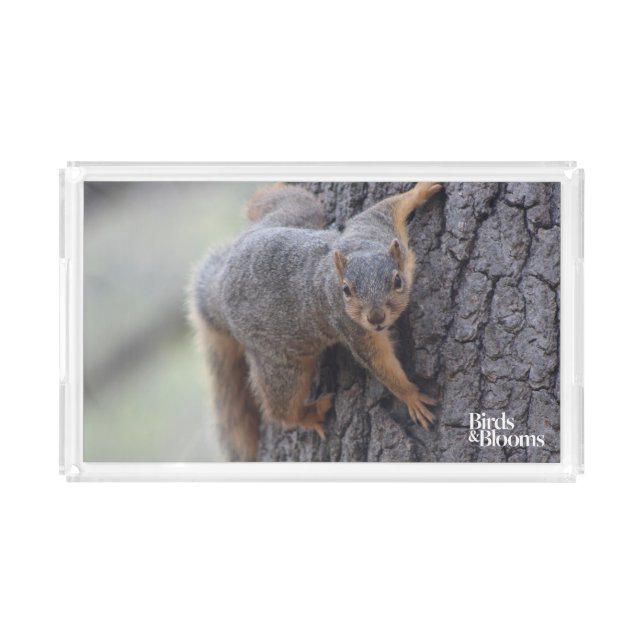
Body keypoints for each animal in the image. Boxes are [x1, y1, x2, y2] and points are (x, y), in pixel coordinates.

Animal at [189, 181, 442, 461]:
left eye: (397, 280)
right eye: (346, 290)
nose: (376, 318)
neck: (361, 249)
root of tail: (220, 288)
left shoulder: (375, 227)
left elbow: (386, 207)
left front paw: (420, 190)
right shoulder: (352, 327)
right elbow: (380, 363)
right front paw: (410, 396)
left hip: (296, 214)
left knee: (270, 204)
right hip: (281, 363)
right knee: (280, 407)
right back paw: (308, 414)